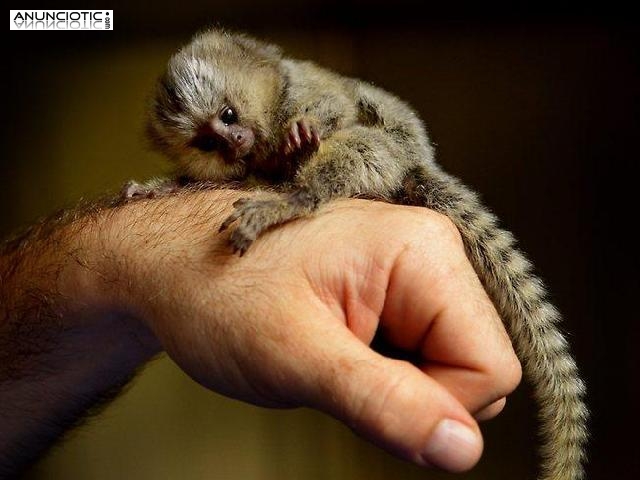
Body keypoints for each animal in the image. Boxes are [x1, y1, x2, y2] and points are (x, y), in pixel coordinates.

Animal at [130, 28, 588, 480]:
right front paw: (159, 188)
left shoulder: (299, 89)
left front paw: (303, 133)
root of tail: (413, 167)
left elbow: (332, 107)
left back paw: (295, 197)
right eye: (207, 142)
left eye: (228, 116)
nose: (232, 142)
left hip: (390, 153)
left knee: (357, 143)